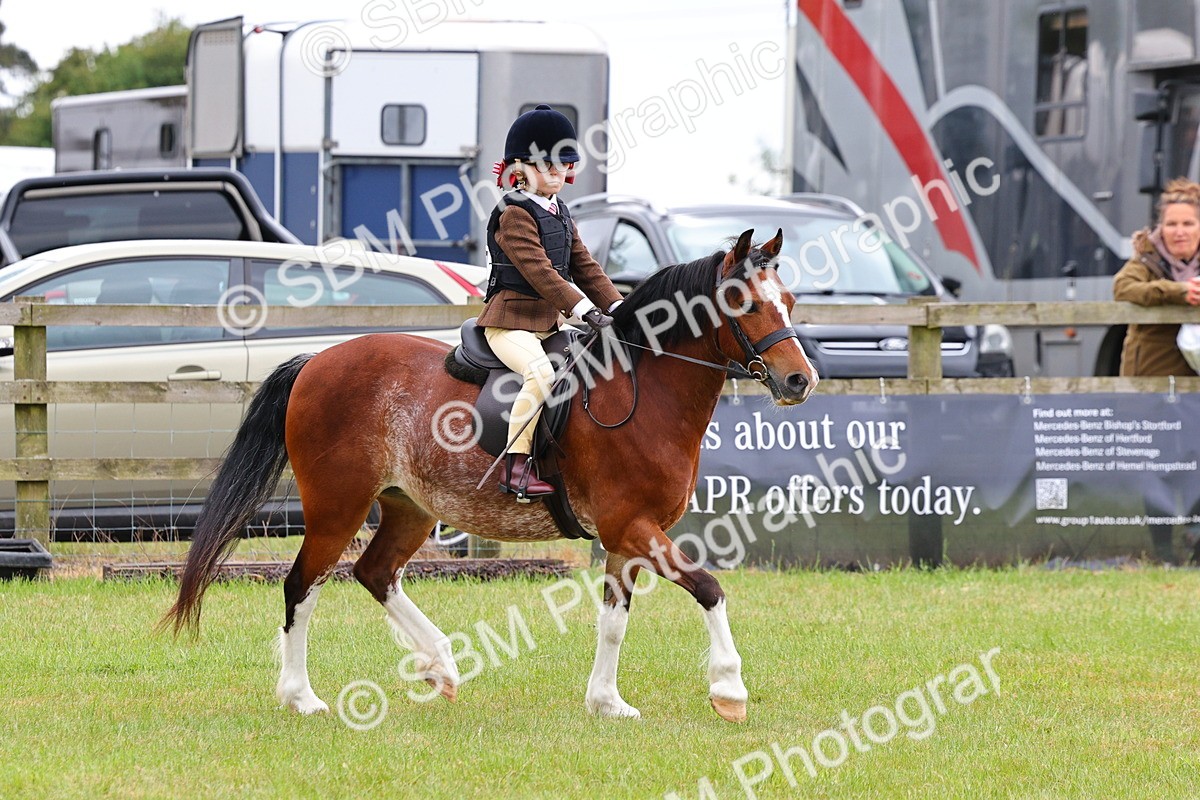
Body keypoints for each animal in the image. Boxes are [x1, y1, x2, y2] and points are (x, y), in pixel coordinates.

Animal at [163, 228, 818, 723]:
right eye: (747, 305)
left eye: (787, 300)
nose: (800, 381)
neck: (644, 390)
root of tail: (315, 362)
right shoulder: (631, 525)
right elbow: (708, 587)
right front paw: (729, 690)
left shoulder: (626, 536)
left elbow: (613, 619)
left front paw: (607, 703)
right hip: (335, 508)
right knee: (302, 585)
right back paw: (302, 697)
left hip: (410, 507)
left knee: (375, 573)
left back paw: (441, 666)